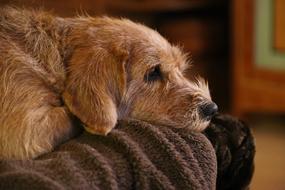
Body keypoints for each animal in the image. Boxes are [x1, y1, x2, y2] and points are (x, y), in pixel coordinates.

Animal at [0, 7, 217, 159]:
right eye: (153, 72)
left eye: (181, 68)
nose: (212, 108)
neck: (55, 54)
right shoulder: (25, 131)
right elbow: (71, 117)